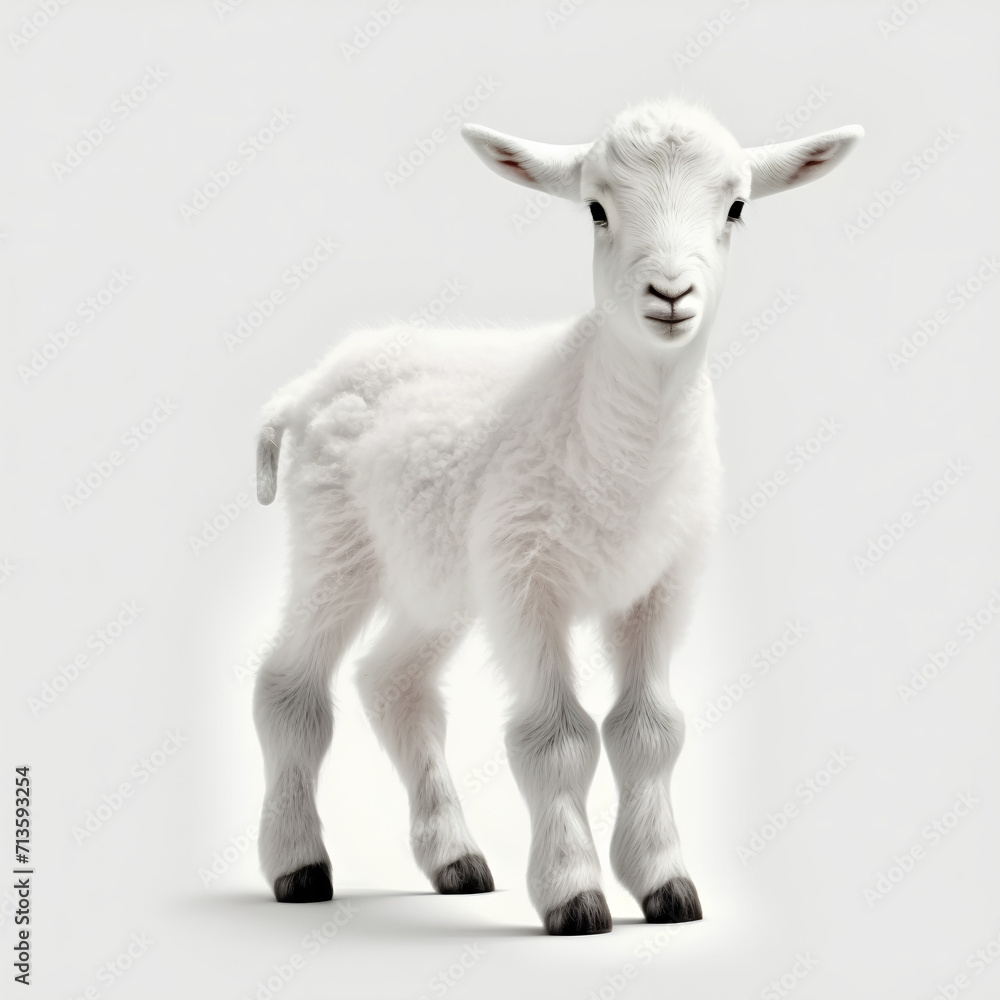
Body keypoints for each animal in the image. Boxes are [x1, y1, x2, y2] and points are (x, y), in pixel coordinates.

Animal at [252, 98, 863, 934]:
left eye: (736, 207)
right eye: (597, 209)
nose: (670, 293)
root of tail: (305, 386)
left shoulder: (663, 585)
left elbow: (649, 730)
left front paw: (665, 882)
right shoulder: (526, 579)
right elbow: (555, 738)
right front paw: (575, 893)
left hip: (439, 577)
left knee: (394, 683)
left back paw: (456, 859)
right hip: (336, 541)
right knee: (289, 688)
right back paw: (298, 865)